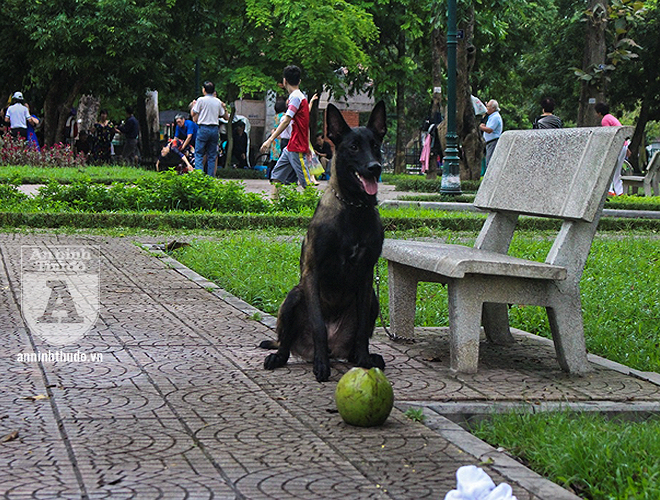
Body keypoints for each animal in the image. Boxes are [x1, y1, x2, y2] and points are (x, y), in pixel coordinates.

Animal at [260, 101, 386, 382]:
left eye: (375, 145)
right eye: (353, 147)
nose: (375, 167)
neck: (353, 208)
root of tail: (334, 347)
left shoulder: (366, 277)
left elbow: (363, 327)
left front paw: (364, 360)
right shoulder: (313, 272)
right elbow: (318, 324)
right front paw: (321, 366)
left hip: (373, 298)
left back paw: (363, 356)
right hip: (294, 296)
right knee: (285, 342)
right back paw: (280, 357)